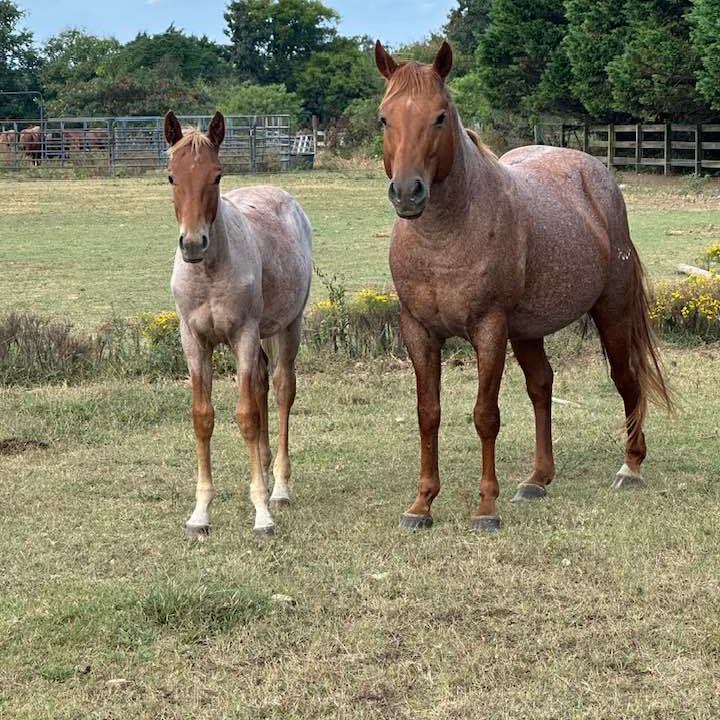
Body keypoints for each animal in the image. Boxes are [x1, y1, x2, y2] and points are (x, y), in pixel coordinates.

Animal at [164, 110, 313, 537]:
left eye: (216, 175)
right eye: (171, 176)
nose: (192, 244)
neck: (210, 273)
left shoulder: (243, 334)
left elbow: (246, 416)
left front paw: (262, 512)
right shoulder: (193, 341)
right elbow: (203, 418)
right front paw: (200, 513)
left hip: (287, 327)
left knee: (281, 388)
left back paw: (279, 486)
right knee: (262, 383)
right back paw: (261, 465)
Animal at [374, 40, 672, 532]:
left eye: (440, 117)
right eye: (384, 117)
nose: (408, 193)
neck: (445, 238)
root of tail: (597, 175)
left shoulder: (490, 330)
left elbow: (485, 415)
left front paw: (485, 508)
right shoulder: (418, 331)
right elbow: (428, 414)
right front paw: (422, 504)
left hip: (610, 313)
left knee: (626, 379)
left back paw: (630, 466)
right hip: (529, 331)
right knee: (542, 386)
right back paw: (537, 479)